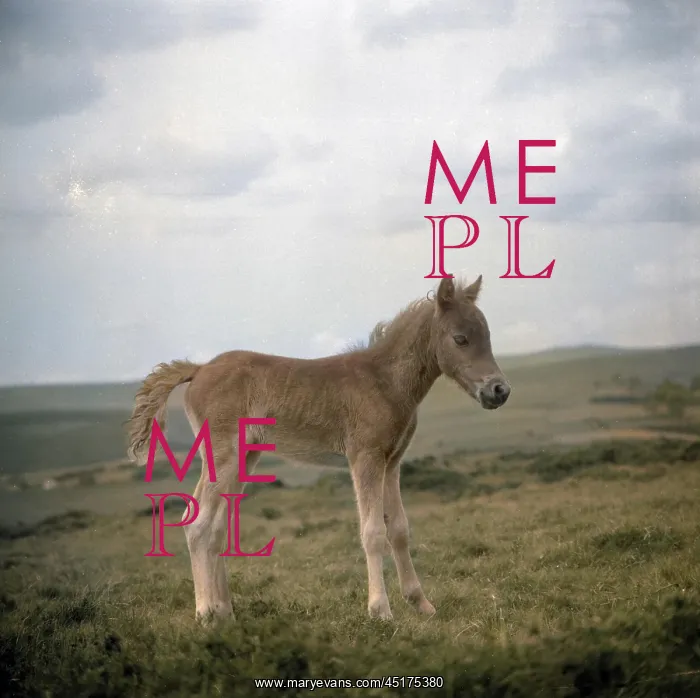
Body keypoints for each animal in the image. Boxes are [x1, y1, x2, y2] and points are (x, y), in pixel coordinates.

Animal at [126, 275, 511, 622]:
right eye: (460, 338)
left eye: (488, 336)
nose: (499, 391)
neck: (384, 381)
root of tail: (199, 368)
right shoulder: (365, 458)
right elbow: (373, 532)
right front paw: (380, 611)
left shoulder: (391, 462)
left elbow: (399, 529)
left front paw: (421, 604)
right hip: (223, 456)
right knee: (198, 525)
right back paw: (205, 612)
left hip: (245, 458)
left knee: (218, 528)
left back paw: (225, 612)